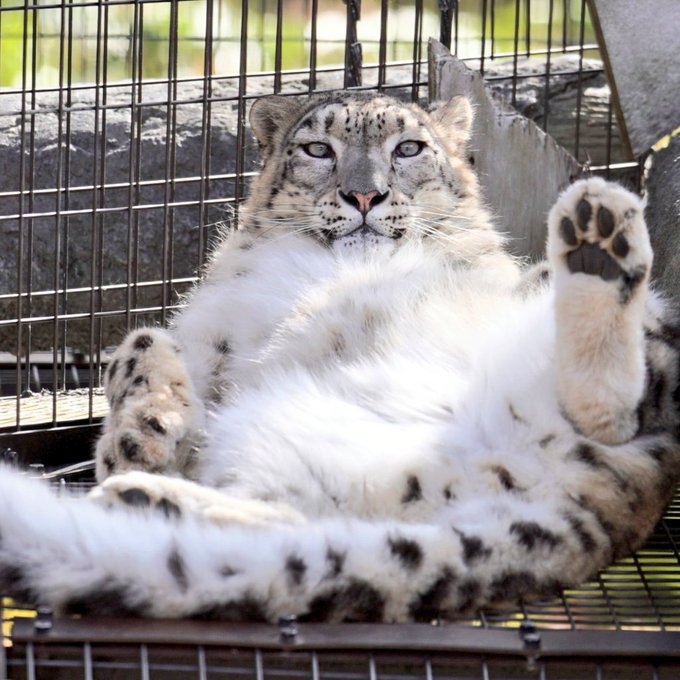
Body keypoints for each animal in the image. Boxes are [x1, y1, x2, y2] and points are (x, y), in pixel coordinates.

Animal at [1, 93, 680, 624]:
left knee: (618, 405)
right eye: (318, 150)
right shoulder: (209, 341)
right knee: (301, 527)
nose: (363, 194)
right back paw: (143, 498)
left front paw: (139, 440)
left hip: (651, 339)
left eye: (409, 148)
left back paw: (599, 237)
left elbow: (133, 343)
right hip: (302, 465)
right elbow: (136, 344)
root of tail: (608, 508)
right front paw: (139, 438)